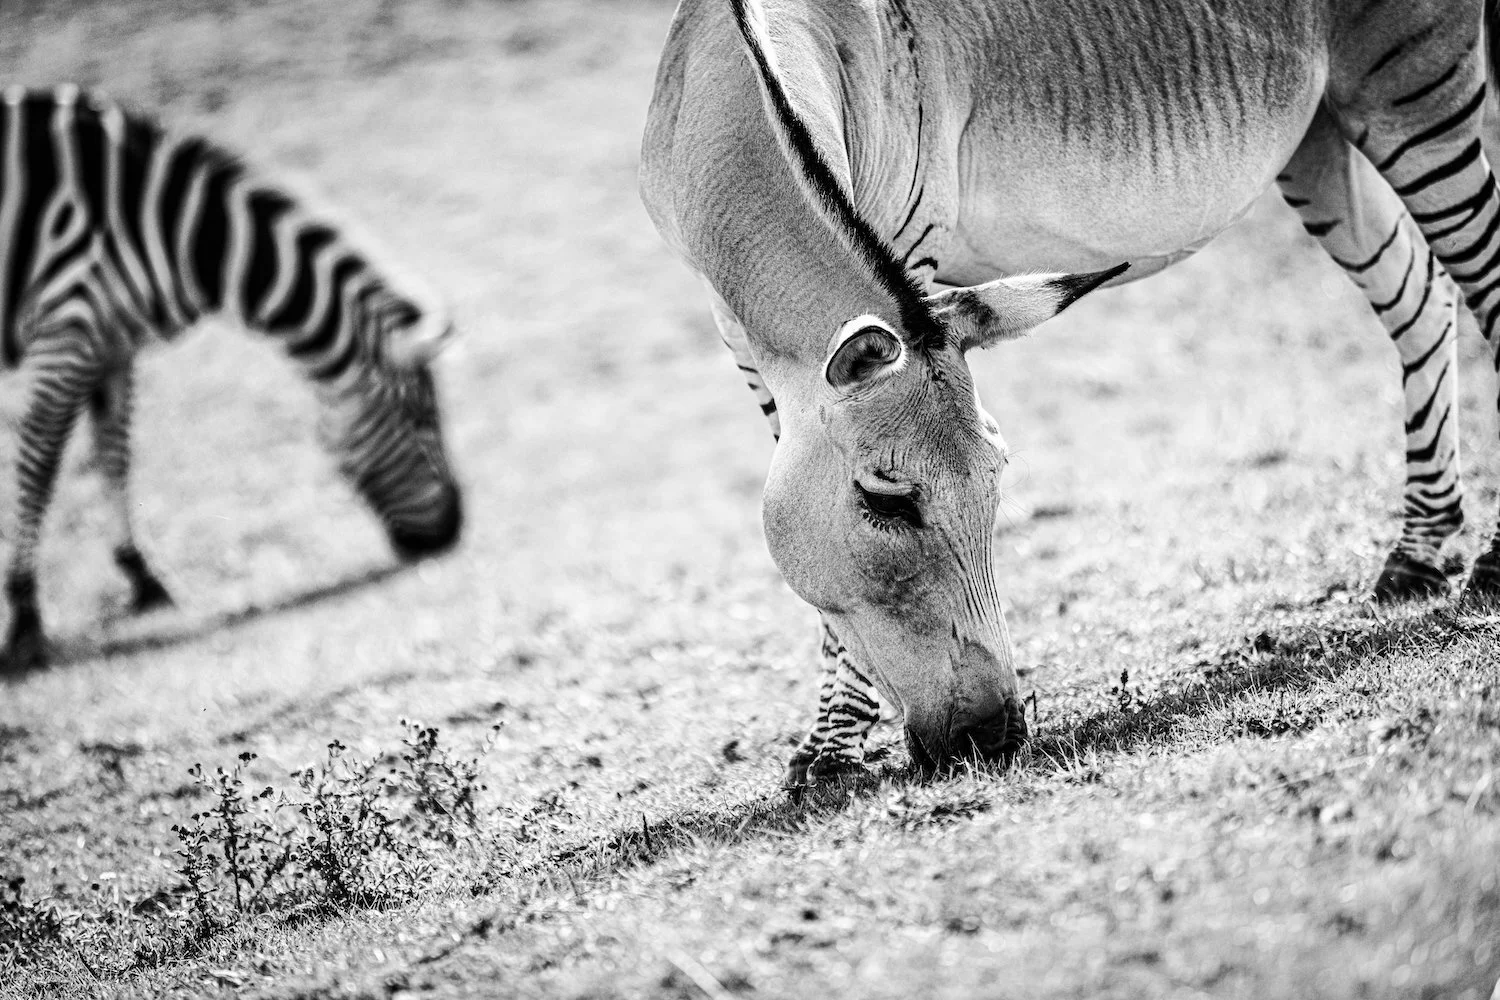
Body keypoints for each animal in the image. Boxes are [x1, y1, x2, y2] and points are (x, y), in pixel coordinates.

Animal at [0, 85, 462, 674]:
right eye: (423, 419)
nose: (454, 530)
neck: (184, 232)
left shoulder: (109, 343)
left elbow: (114, 455)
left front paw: (144, 580)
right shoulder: (68, 328)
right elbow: (40, 464)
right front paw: (24, 619)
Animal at [642, 0, 1500, 784]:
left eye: (998, 484)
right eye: (886, 501)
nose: (992, 740)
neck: (732, 67)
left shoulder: (908, 252)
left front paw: (829, 749)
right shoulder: (742, 336)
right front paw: (829, 748)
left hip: (1411, 85)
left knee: (1478, 282)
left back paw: (1486, 564)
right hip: (1320, 129)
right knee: (1420, 295)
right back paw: (1418, 557)